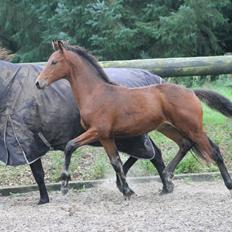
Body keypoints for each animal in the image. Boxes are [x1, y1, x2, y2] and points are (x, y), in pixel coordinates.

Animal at [0, 59, 170, 203]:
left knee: (149, 153)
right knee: (153, 153)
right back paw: (163, 186)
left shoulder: (28, 144)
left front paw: (44, 199)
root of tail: (154, 79)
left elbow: (38, 174)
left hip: (130, 135)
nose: (39, 83)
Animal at [35, 41, 232, 198]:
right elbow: (116, 162)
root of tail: (191, 92)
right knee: (185, 144)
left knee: (214, 151)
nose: (38, 83)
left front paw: (64, 184)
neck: (96, 93)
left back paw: (227, 184)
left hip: (193, 128)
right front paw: (127, 191)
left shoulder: (97, 131)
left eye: (54, 62)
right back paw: (167, 176)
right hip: (169, 127)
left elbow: (70, 146)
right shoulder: (106, 137)